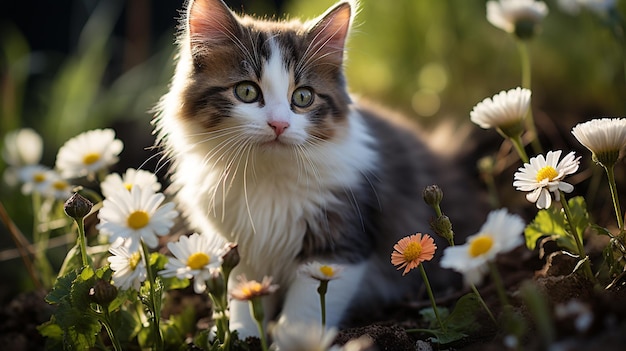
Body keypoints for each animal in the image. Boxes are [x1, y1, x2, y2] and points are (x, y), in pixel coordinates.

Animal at [154, 0, 480, 338]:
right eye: (246, 92)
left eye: (303, 97)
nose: (279, 124)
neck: (268, 176)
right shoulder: (241, 249)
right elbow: (245, 297)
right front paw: (242, 335)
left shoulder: (340, 241)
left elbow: (303, 313)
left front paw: (293, 340)